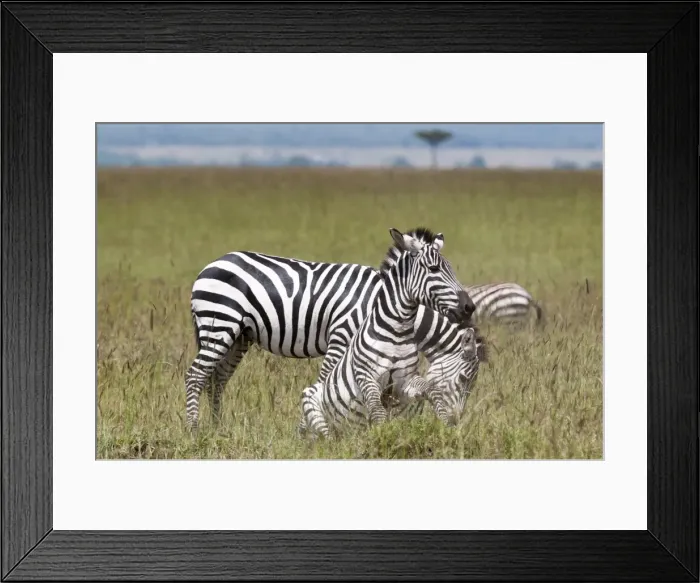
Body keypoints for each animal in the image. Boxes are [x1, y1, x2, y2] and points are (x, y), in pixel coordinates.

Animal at [185, 226, 452, 430]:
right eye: (434, 271)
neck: (378, 302)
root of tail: (209, 266)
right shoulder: (342, 336)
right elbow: (328, 383)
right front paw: (313, 428)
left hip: (239, 336)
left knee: (216, 380)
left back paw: (218, 428)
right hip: (219, 323)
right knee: (196, 375)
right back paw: (194, 430)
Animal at [299, 228, 474, 438]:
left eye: (451, 269)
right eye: (433, 269)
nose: (469, 307)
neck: (397, 332)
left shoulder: (405, 382)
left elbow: (432, 391)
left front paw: (447, 428)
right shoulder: (366, 376)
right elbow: (377, 410)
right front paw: (381, 436)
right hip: (311, 399)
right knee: (326, 435)